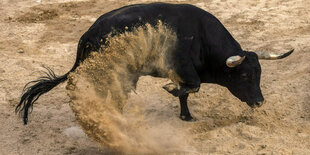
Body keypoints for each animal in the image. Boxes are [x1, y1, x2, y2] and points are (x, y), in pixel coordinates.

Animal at [16, 2, 294, 124]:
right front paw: (170, 90)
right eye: (245, 76)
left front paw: (186, 116)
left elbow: (187, 93)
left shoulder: (183, 73)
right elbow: (192, 87)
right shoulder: (184, 70)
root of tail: (88, 33)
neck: (201, 37)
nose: (259, 102)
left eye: (260, 75)